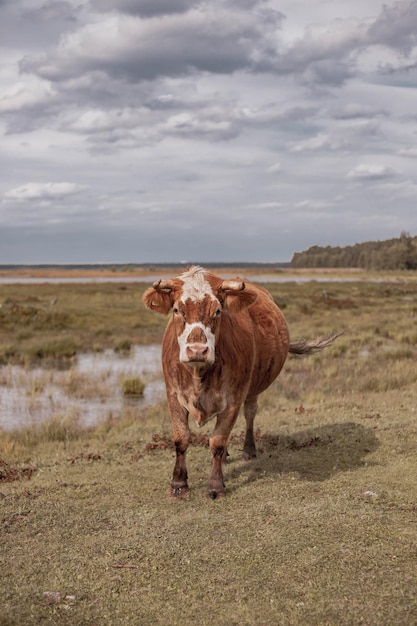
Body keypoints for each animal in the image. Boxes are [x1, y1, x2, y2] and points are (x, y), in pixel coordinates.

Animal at [142, 264, 338, 498]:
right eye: (177, 310)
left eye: (217, 311)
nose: (197, 350)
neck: (199, 374)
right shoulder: (173, 395)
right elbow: (181, 439)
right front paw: (178, 483)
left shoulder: (234, 399)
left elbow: (217, 441)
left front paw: (215, 485)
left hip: (253, 389)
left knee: (249, 415)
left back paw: (249, 450)